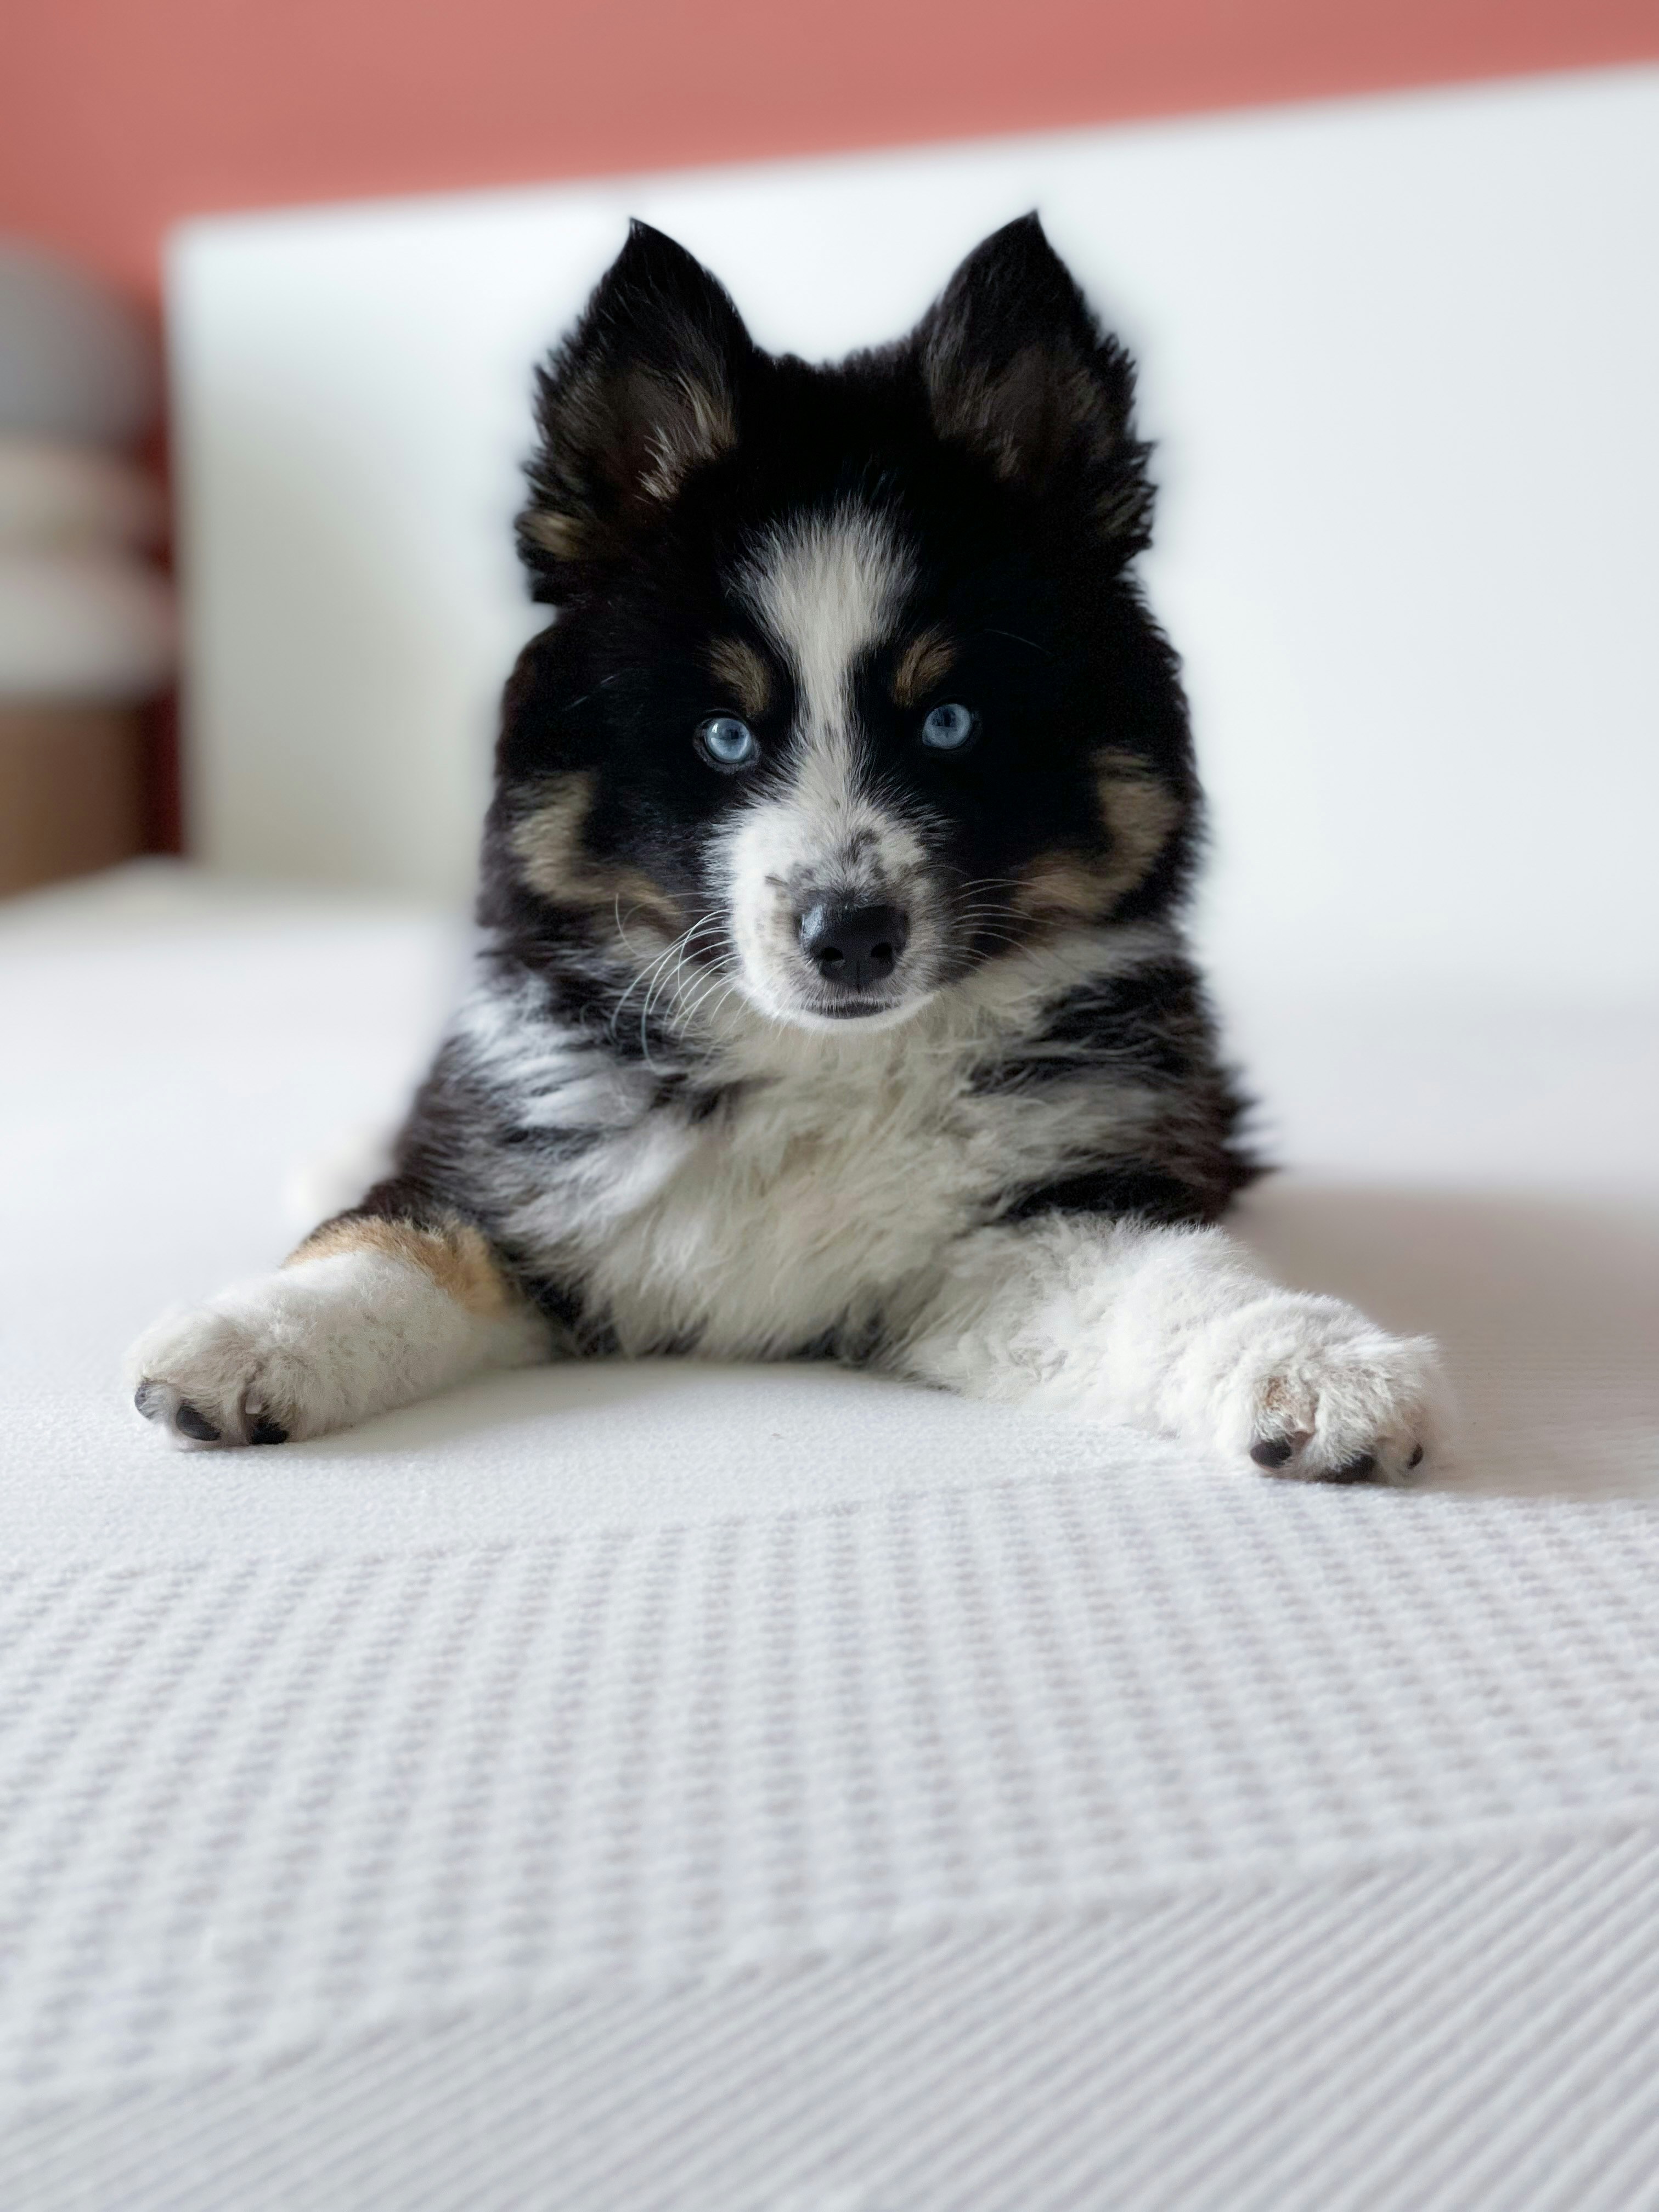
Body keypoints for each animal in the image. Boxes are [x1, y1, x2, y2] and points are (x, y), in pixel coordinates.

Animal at [129, 216, 1451, 1477]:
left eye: (949, 723)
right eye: (723, 734)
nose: (850, 935)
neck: (817, 1067)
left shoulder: (1024, 1229)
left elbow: (1172, 1279)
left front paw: (1317, 1367)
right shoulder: (527, 1168)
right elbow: (393, 1240)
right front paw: (240, 1342)